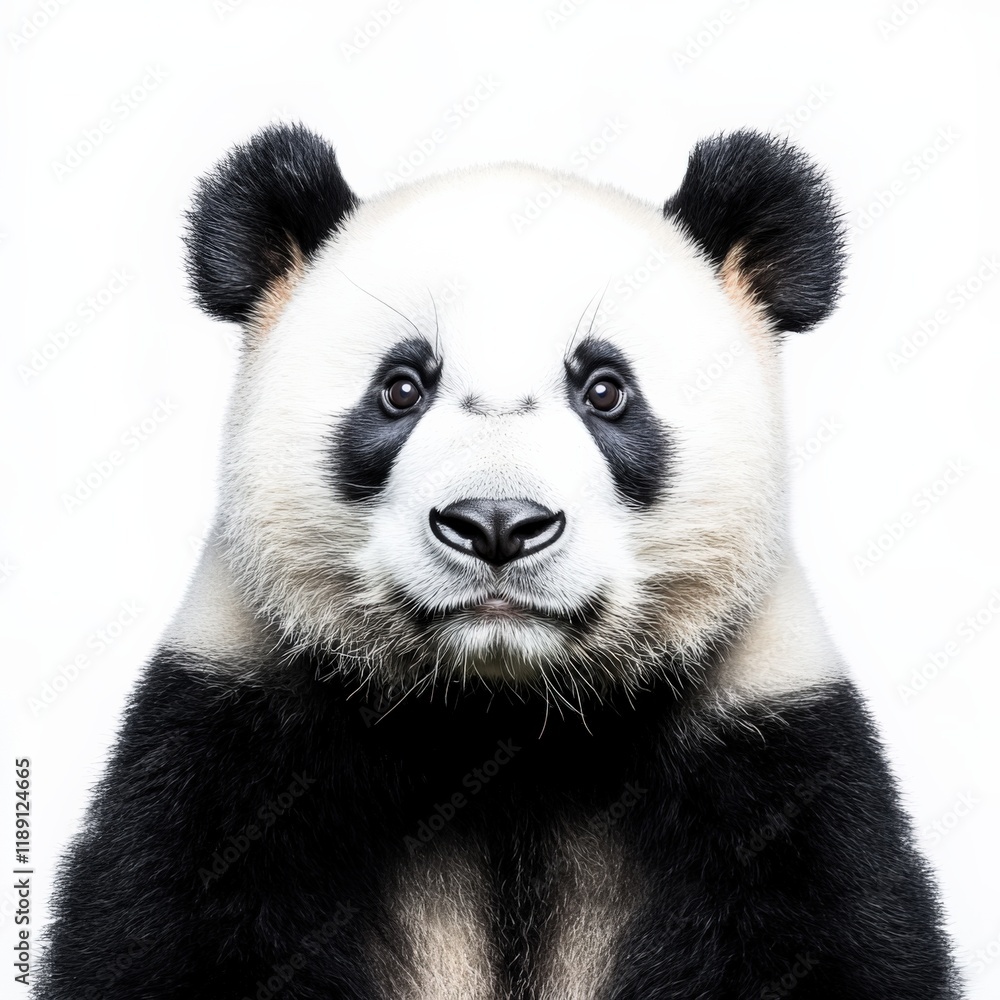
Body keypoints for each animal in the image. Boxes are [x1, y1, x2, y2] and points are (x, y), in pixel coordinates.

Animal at [41, 124, 961, 999]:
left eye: (605, 391)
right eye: (401, 389)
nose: (496, 524)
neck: (504, 721)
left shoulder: (773, 760)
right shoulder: (230, 750)